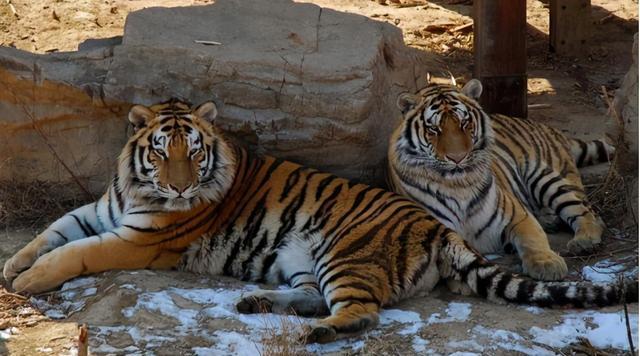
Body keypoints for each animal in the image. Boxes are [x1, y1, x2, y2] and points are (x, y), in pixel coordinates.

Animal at [3, 98, 636, 344]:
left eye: (193, 151)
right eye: (161, 151)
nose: (181, 186)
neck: (135, 187)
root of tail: (441, 230)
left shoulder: (139, 241)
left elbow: (76, 252)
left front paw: (28, 280)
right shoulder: (99, 210)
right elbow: (52, 231)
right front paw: (14, 263)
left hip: (344, 253)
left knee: (359, 313)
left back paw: (313, 335)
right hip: (299, 258)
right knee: (310, 296)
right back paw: (258, 304)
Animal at [388, 76, 616, 282]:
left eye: (464, 123)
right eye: (434, 129)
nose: (458, 157)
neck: (458, 186)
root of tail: (550, 128)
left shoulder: (517, 215)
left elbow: (533, 239)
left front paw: (547, 264)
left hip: (544, 177)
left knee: (590, 214)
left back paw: (584, 241)